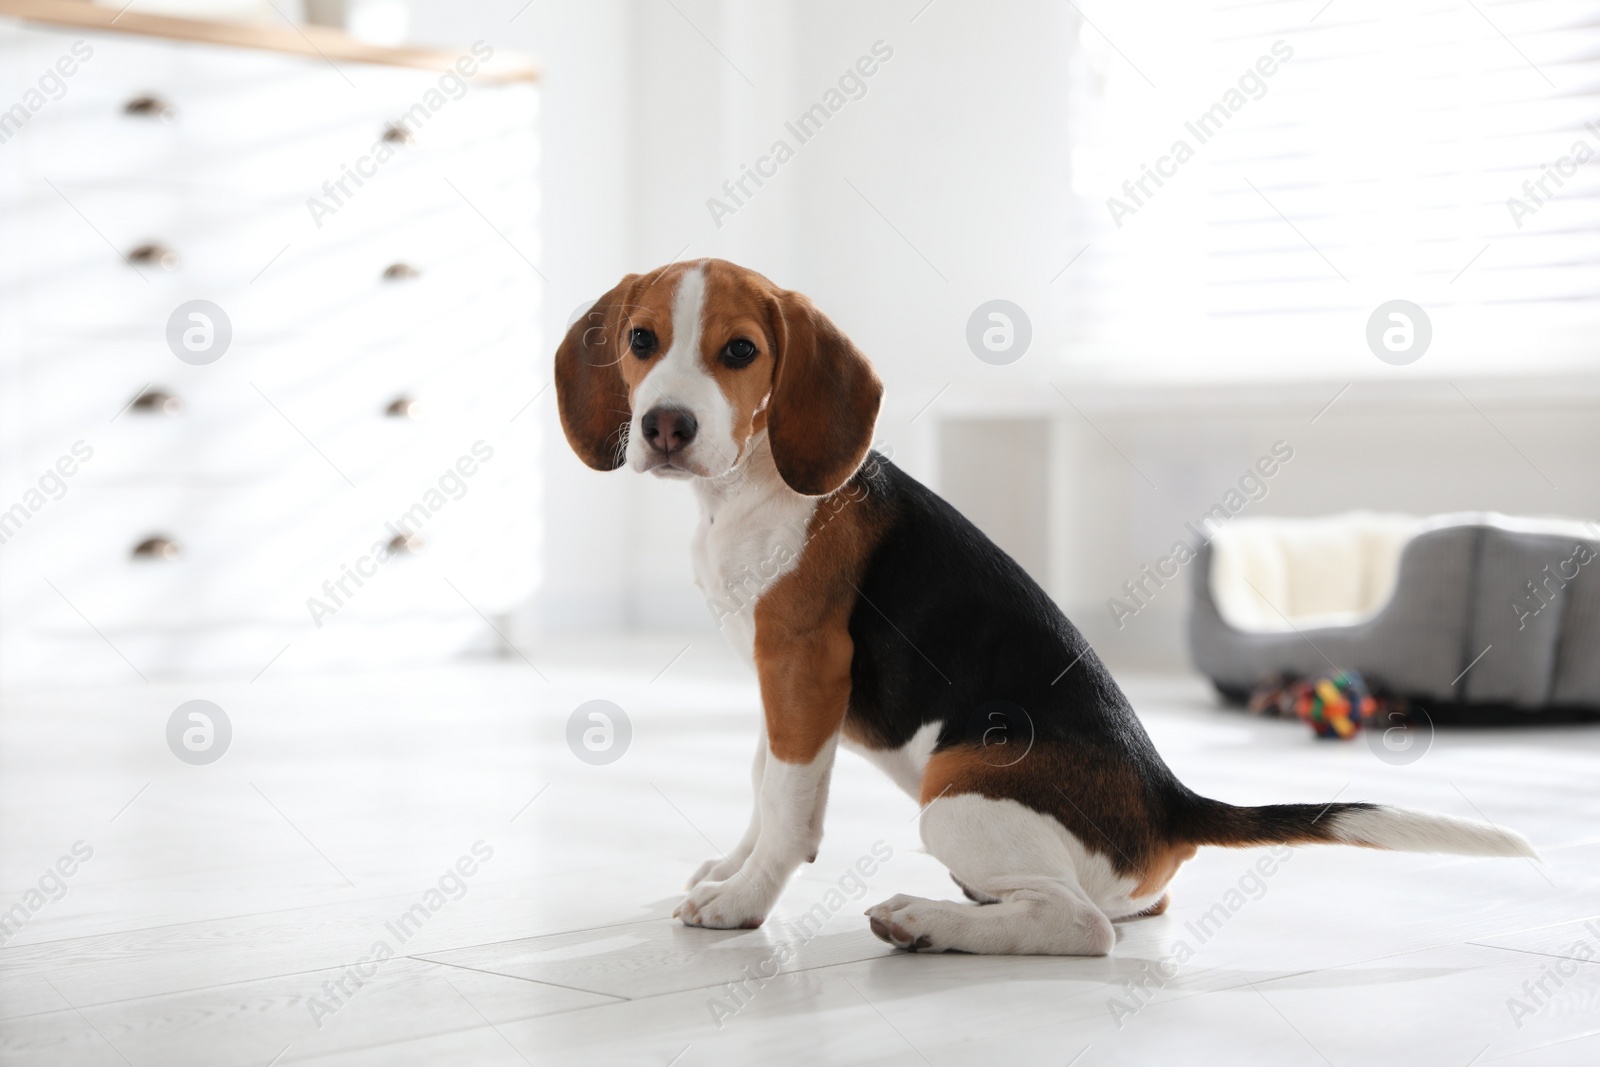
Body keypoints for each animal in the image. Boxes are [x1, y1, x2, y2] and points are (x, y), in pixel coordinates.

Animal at [553, 260, 1536, 959]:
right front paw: (732, 866)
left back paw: (928, 922)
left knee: (1081, 926)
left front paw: (744, 900)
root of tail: (1170, 800)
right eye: (641, 339)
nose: (666, 426)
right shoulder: (778, 683)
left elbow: (791, 808)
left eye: (740, 352)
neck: (748, 488)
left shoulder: (804, 664)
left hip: (953, 796)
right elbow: (767, 784)